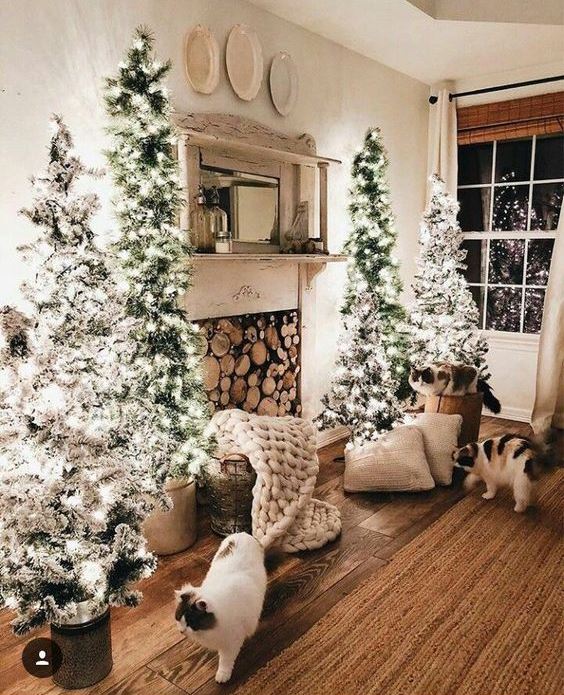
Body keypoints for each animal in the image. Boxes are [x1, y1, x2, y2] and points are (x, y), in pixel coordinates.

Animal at [173, 532, 268, 684]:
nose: (181, 631)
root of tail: (243, 533)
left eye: (190, 623)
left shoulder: (232, 642)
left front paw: (222, 676)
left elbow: (225, 661)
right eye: (178, 618)